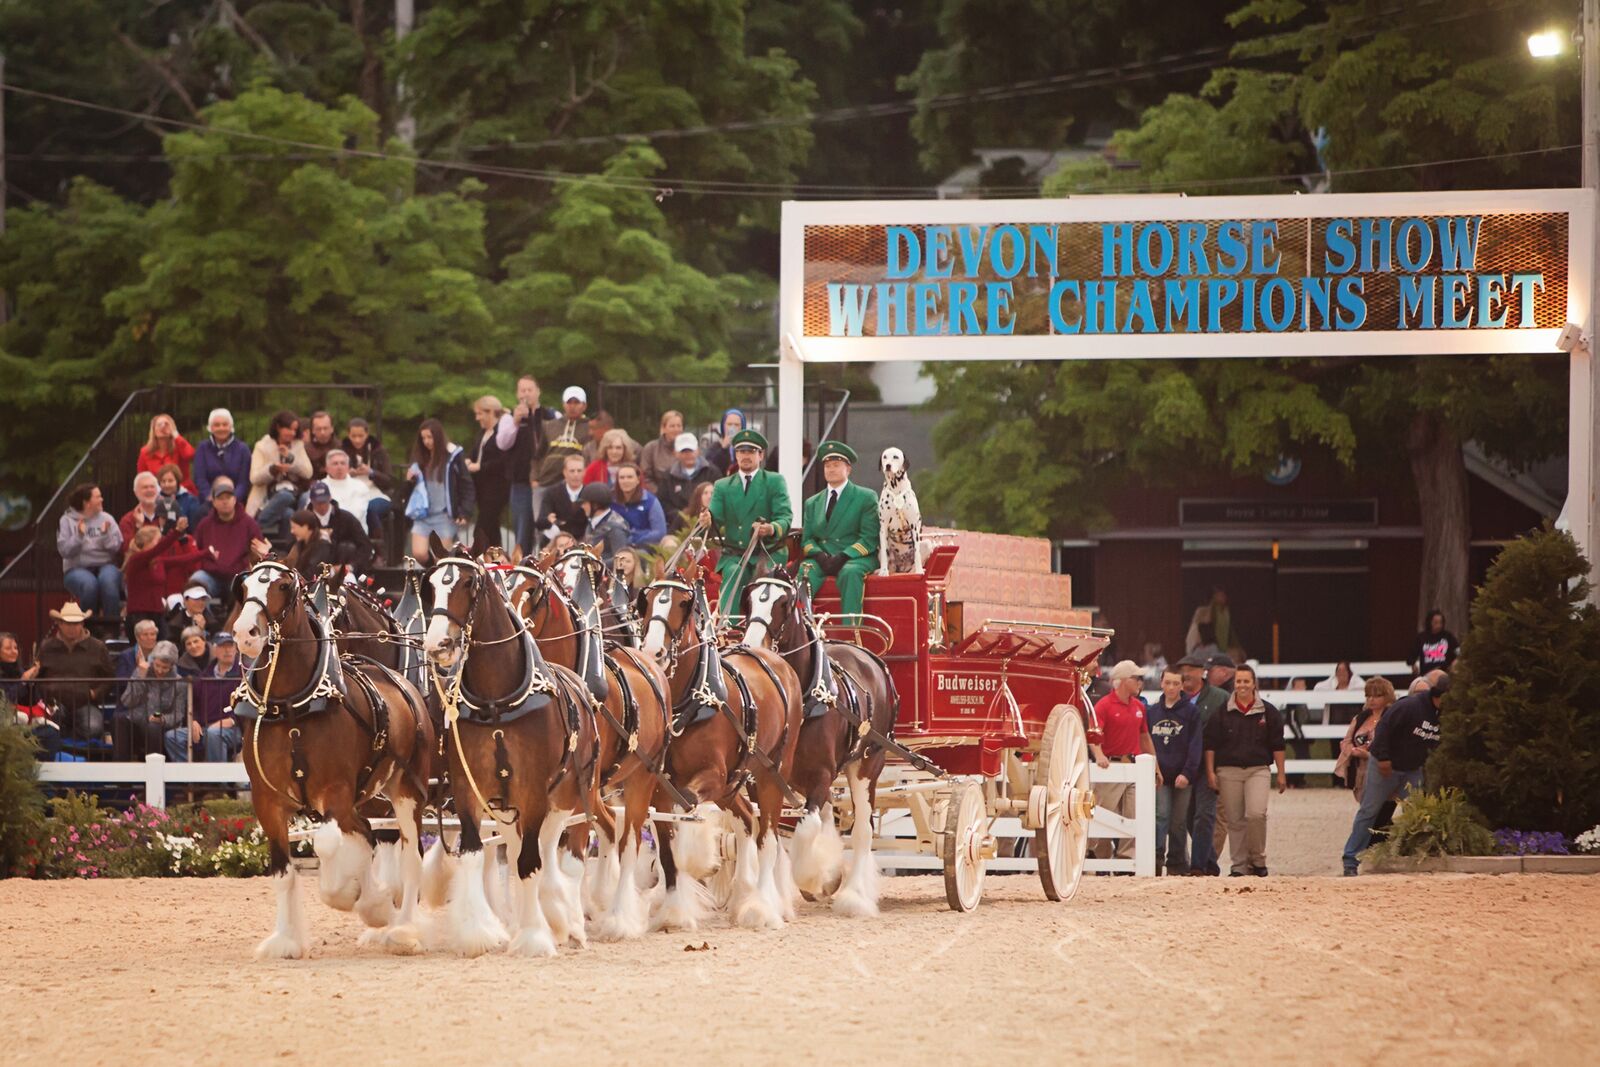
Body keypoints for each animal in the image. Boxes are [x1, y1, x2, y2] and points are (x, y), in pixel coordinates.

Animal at [227, 559, 438, 959]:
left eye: (281, 586)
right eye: (244, 588)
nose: (246, 633)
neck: (294, 707)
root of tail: (404, 685)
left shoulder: (336, 795)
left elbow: (335, 846)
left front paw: (366, 902)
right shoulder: (267, 802)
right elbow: (283, 871)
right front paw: (286, 940)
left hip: (407, 790)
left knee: (410, 854)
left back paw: (402, 928)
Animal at [876, 447, 928, 575]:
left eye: (895, 457)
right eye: (885, 457)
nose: (888, 465)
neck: (896, 489)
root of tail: (902, 568)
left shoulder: (914, 526)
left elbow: (917, 553)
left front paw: (919, 570)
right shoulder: (883, 527)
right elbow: (884, 555)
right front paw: (883, 572)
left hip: (928, 543)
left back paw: (917, 571)